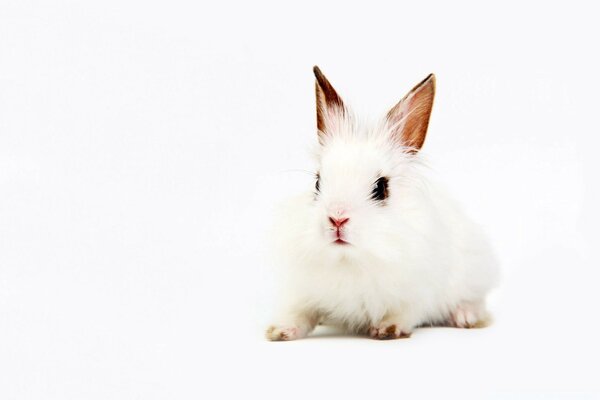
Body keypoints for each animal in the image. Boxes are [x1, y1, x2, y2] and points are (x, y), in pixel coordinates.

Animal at [264, 65, 500, 340]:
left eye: (380, 188)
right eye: (317, 183)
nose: (337, 218)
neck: (350, 260)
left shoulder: (418, 293)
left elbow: (407, 312)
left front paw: (388, 329)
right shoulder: (305, 293)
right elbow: (300, 314)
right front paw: (280, 330)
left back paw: (466, 317)